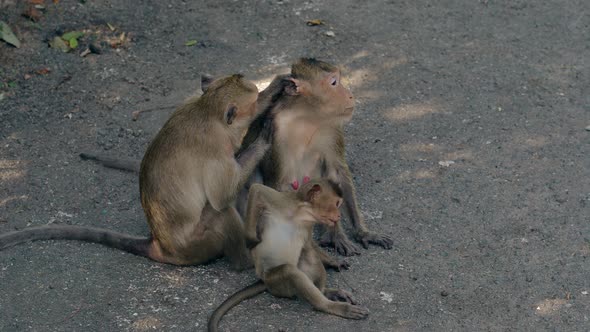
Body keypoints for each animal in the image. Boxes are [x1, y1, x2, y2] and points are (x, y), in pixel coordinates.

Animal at [0, 74, 270, 268]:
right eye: (253, 100)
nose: (259, 96)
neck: (206, 110)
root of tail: (160, 245)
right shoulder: (214, 149)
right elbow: (221, 197)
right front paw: (261, 140)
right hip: (198, 243)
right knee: (219, 212)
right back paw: (245, 262)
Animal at [208, 179, 370, 332]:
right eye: (336, 203)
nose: (339, 215)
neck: (300, 214)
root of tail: (263, 281)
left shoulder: (308, 225)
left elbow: (309, 244)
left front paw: (334, 262)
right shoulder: (280, 201)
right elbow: (256, 189)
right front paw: (250, 239)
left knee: (308, 254)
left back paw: (326, 292)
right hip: (276, 283)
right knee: (289, 271)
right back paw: (328, 305)